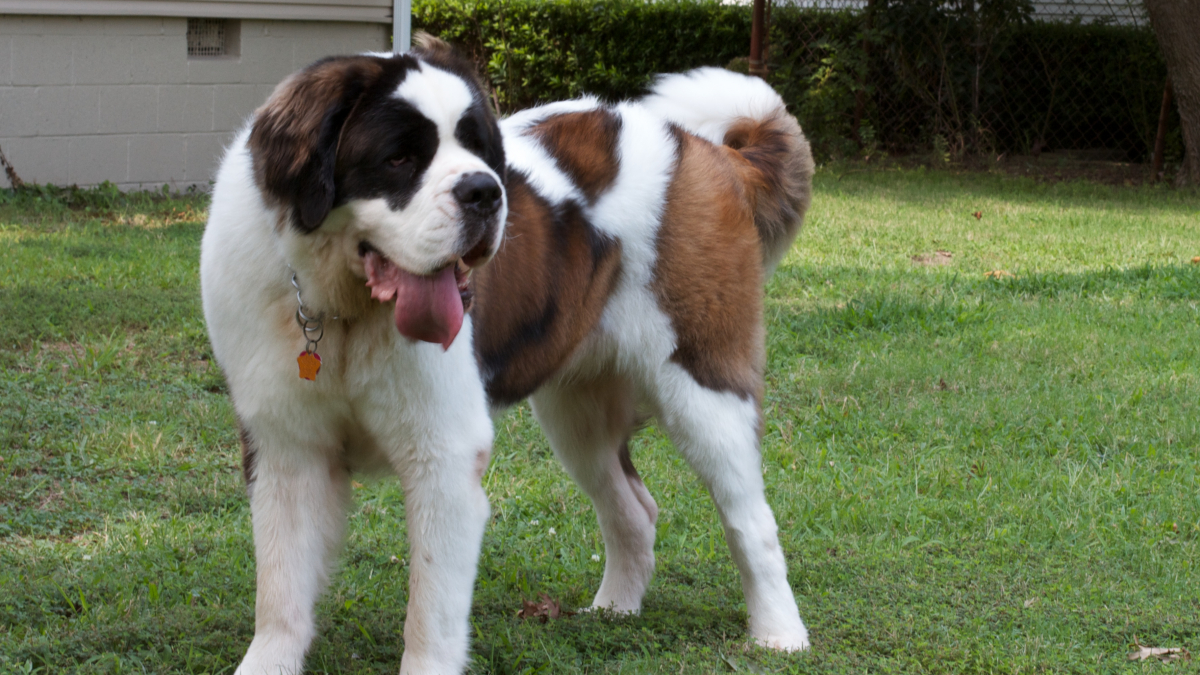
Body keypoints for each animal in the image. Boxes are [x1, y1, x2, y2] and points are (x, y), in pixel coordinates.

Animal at [204, 35, 816, 672]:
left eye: (479, 149)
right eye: (398, 158)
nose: (484, 192)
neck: (342, 311)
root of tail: (701, 148)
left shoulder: (445, 460)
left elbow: (431, 610)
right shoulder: (286, 450)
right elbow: (281, 590)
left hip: (705, 386)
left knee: (750, 519)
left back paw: (778, 633)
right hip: (577, 415)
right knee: (633, 508)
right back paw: (615, 609)